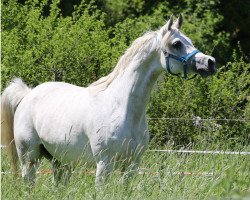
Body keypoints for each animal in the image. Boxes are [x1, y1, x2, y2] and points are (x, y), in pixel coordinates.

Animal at [0, 14, 215, 185]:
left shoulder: (132, 165)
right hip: (29, 159)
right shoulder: (104, 164)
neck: (122, 107)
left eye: (189, 40)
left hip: (60, 161)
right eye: (176, 44)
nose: (210, 63)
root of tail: (27, 94)